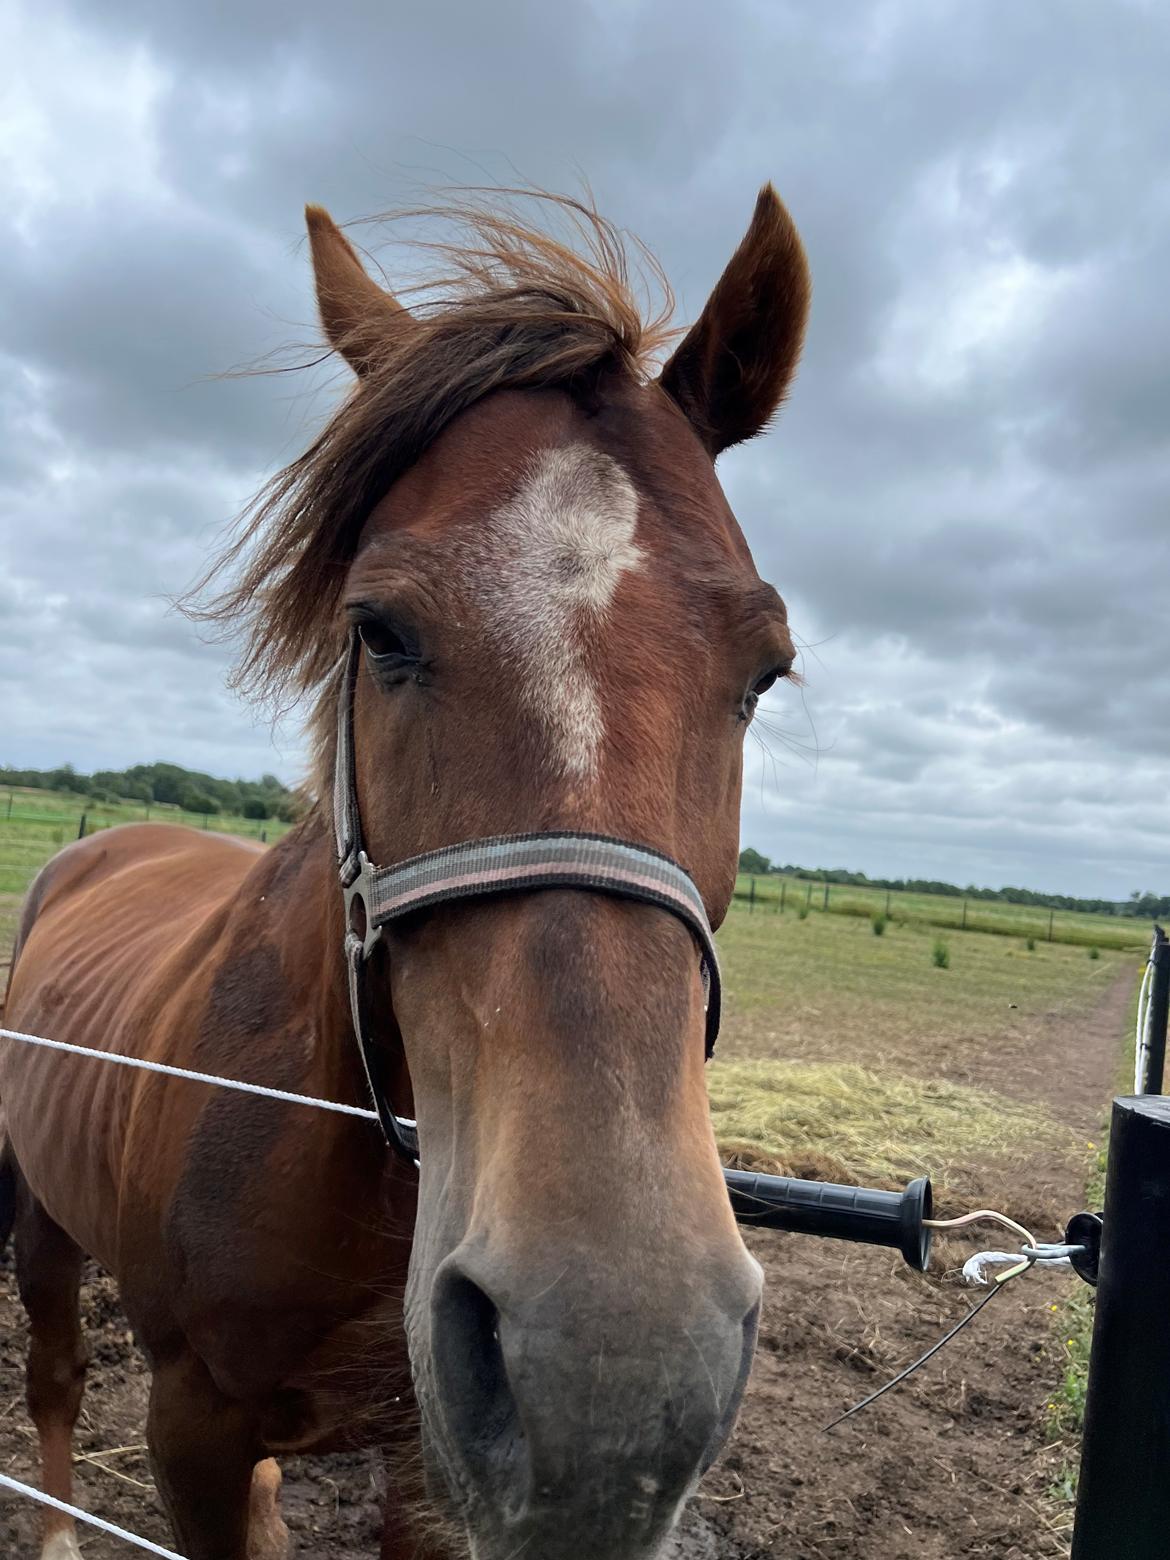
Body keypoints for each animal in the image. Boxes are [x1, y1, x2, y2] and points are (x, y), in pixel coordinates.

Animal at [0, 185, 811, 1560]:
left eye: (766, 669)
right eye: (378, 630)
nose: (611, 1368)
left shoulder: (431, 1471)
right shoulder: (191, 1428)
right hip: (39, 1214)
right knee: (54, 1375)